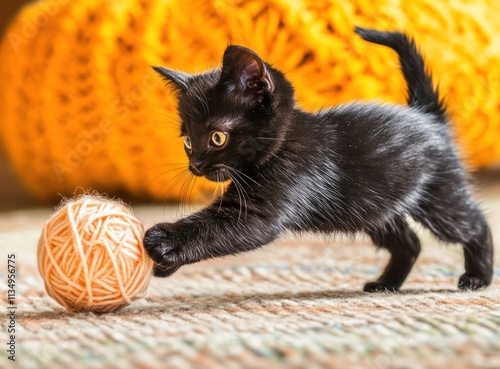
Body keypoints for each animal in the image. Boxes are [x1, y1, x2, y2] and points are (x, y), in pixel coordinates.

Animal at [144, 27, 492, 290]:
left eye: (217, 137)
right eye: (188, 141)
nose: (196, 165)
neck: (284, 144)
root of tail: (425, 114)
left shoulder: (261, 209)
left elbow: (216, 228)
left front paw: (163, 240)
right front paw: (164, 265)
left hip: (435, 194)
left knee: (473, 224)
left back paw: (478, 277)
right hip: (372, 206)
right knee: (410, 242)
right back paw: (386, 284)